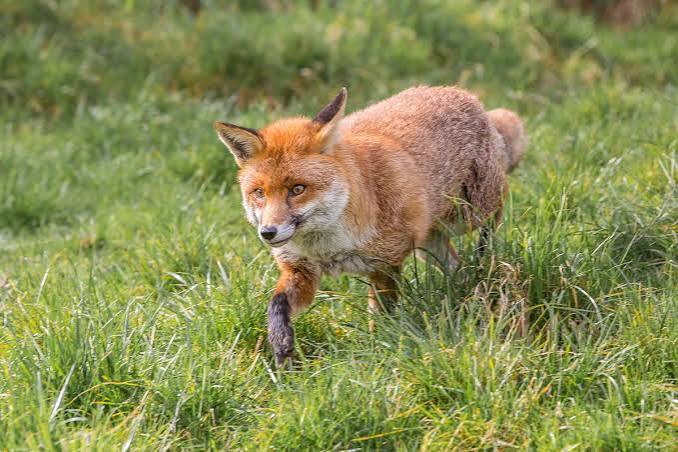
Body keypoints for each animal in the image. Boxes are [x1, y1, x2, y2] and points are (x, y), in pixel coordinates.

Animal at [213, 86, 527, 366]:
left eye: (297, 189)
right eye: (259, 193)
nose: (268, 233)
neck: (329, 246)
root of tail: (466, 95)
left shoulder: (386, 265)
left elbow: (381, 317)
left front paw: (379, 347)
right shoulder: (301, 271)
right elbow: (276, 305)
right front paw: (282, 349)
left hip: (468, 215)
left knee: (499, 207)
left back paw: (486, 254)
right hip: (428, 244)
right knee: (455, 265)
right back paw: (462, 287)